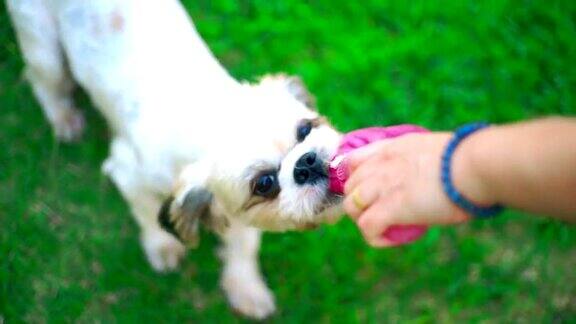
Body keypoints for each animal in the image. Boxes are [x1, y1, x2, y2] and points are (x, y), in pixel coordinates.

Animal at [7, 0, 342, 318]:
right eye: (265, 183)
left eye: (305, 129)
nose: (306, 162)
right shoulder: (128, 175)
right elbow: (146, 213)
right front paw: (161, 245)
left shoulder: (238, 214)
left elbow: (244, 247)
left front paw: (246, 288)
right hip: (44, 50)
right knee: (43, 82)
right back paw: (63, 118)